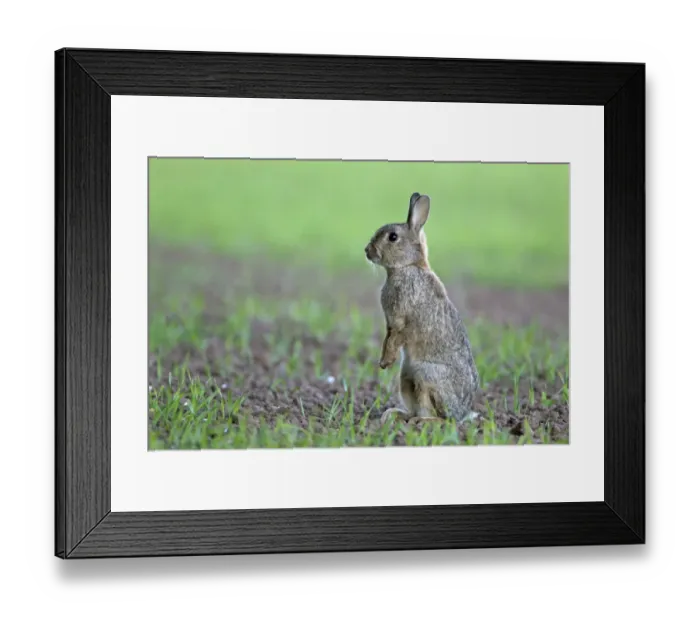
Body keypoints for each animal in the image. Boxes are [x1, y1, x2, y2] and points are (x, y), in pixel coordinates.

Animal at [364, 192, 480, 426]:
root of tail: (462, 413)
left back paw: (422, 422)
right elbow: (388, 339)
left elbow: (397, 338)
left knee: (443, 418)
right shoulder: (390, 324)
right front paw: (383, 363)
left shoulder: (402, 320)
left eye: (392, 237)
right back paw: (394, 415)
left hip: (426, 375)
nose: (367, 251)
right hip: (406, 377)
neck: (407, 267)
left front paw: (386, 362)